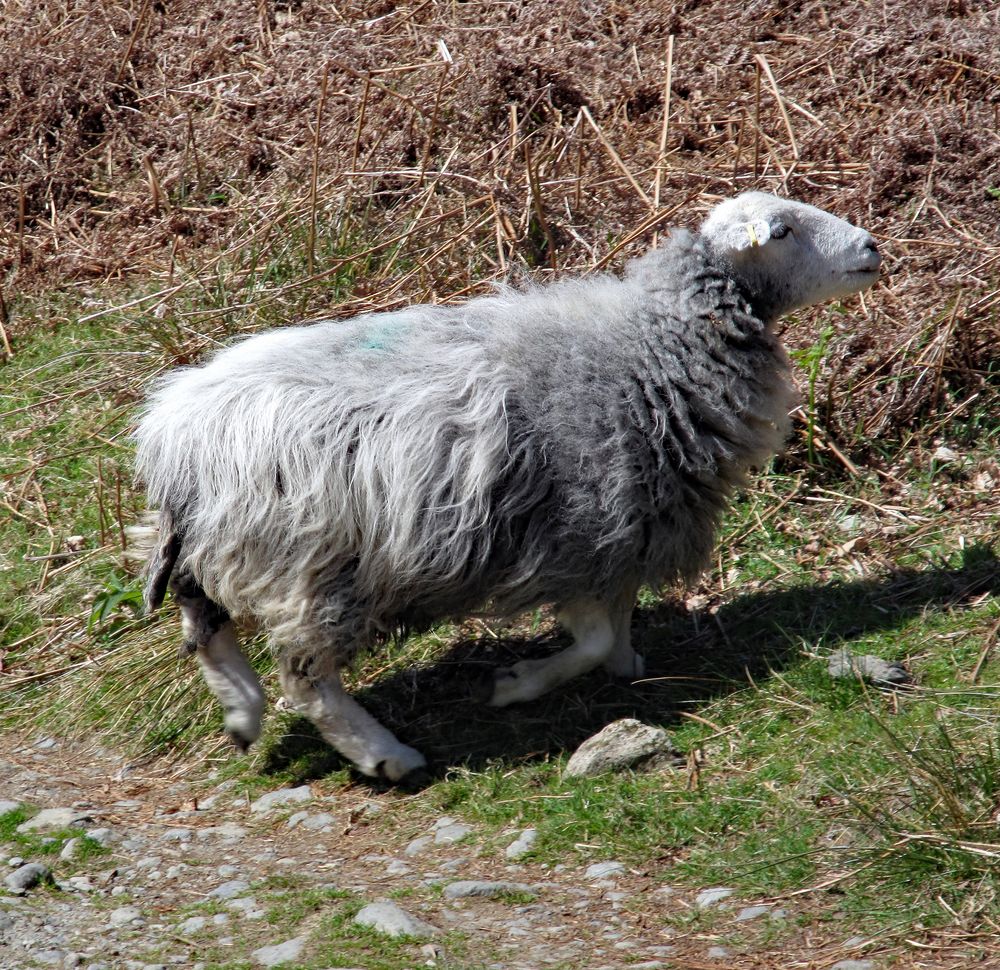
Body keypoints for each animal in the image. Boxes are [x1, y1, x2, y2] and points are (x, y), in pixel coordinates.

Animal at [135, 193, 884, 784]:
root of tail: (173, 433)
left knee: (203, 623)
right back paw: (384, 754)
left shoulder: (620, 535)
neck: (652, 348)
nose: (873, 247)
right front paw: (516, 686)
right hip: (308, 566)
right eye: (781, 231)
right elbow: (589, 639)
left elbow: (615, 628)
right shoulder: (581, 528)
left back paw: (242, 712)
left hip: (217, 543)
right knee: (305, 677)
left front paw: (626, 661)